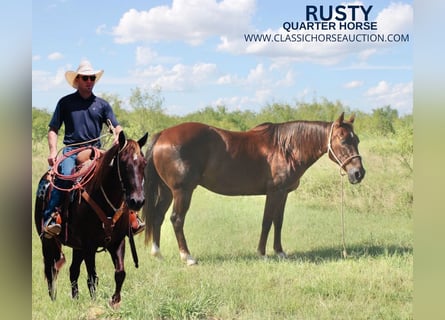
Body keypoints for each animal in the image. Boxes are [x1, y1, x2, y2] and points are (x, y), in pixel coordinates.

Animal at [33, 131, 147, 308]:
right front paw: (94, 303)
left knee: (73, 270)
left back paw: (75, 299)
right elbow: (92, 277)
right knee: (51, 270)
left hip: (76, 246)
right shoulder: (89, 246)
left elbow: (120, 273)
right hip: (48, 241)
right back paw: (53, 299)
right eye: (123, 163)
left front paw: (115, 302)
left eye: (144, 164)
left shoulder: (117, 241)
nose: (137, 201)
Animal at [142, 112, 364, 264]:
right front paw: (262, 253)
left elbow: (278, 222)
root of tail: (163, 134)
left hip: (167, 191)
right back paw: (187, 257)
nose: (358, 173)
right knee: (176, 220)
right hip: (182, 191)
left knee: (158, 216)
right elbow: (267, 221)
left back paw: (157, 253)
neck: (286, 148)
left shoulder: (283, 194)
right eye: (343, 140)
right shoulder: (275, 193)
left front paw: (280, 251)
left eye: (357, 139)